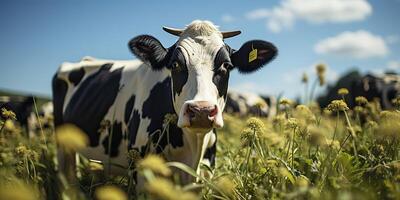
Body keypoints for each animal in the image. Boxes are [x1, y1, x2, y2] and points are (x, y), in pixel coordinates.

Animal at [51, 20, 278, 186]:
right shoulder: (141, 171)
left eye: (226, 65)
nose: (201, 111)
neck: (192, 148)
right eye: (175, 64)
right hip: (62, 146)